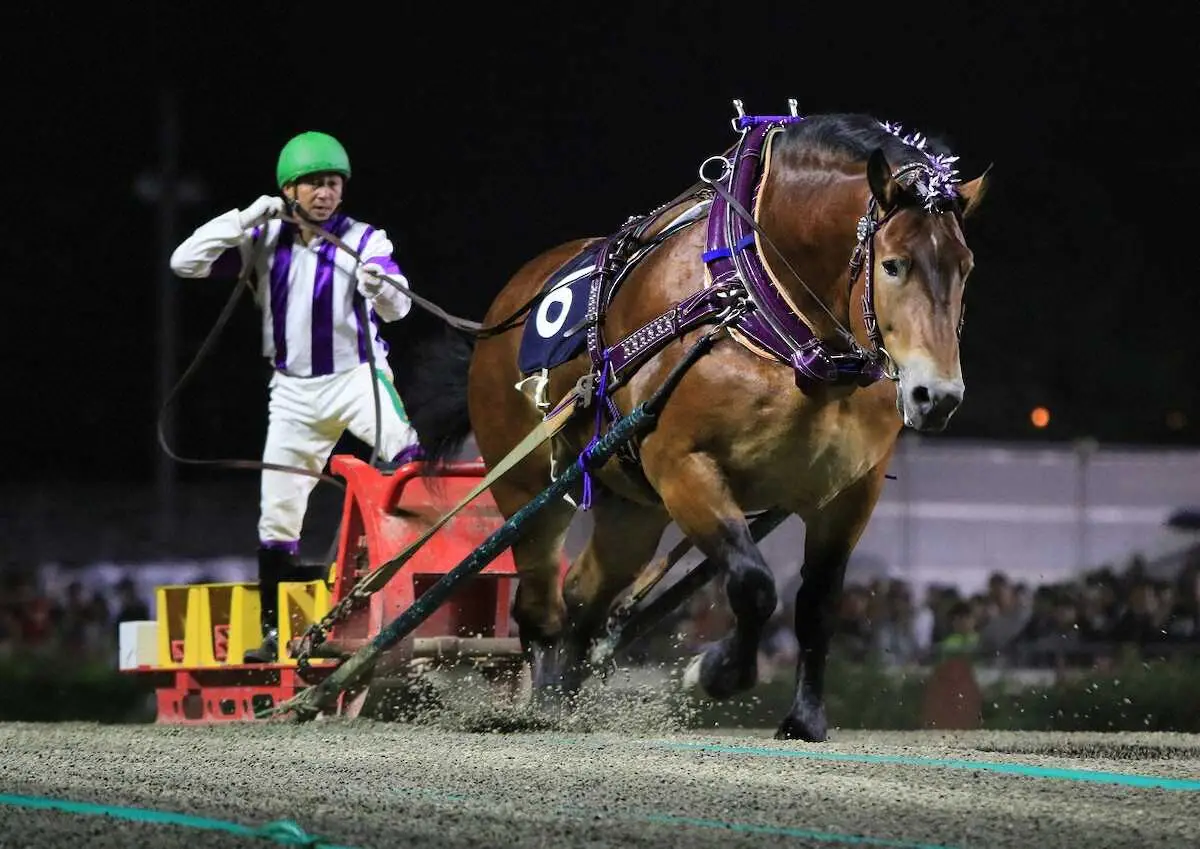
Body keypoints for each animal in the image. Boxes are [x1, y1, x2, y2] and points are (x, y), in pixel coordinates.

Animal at [408, 106, 988, 738]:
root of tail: (504, 311)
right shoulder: (684, 468)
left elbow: (816, 605)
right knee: (540, 605)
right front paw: (715, 672)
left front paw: (804, 719)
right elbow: (754, 584)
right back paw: (539, 708)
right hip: (528, 490)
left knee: (584, 598)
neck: (766, 314)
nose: (939, 396)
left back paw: (563, 699)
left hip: (631, 507)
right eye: (892, 264)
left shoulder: (850, 492)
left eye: (965, 268)